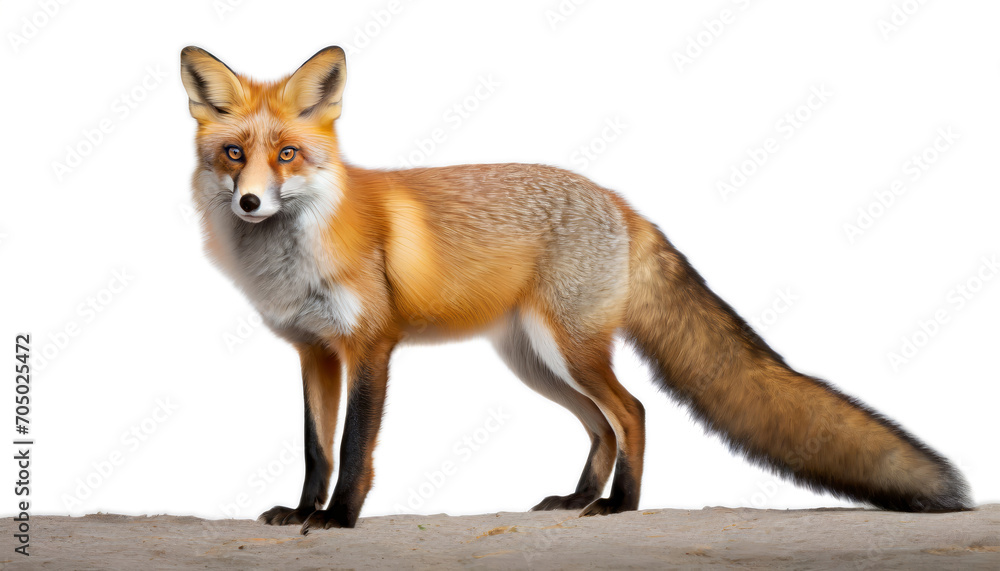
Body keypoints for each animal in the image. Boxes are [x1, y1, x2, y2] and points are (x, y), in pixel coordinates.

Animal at [180, 46, 971, 534]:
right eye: (233, 154)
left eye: (287, 154)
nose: (249, 203)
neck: (297, 254)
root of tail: (621, 201)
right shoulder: (314, 352)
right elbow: (315, 448)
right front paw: (301, 510)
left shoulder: (371, 345)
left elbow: (352, 448)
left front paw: (339, 519)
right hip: (537, 361)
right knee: (602, 426)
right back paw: (581, 498)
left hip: (571, 349)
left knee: (634, 412)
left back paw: (621, 507)